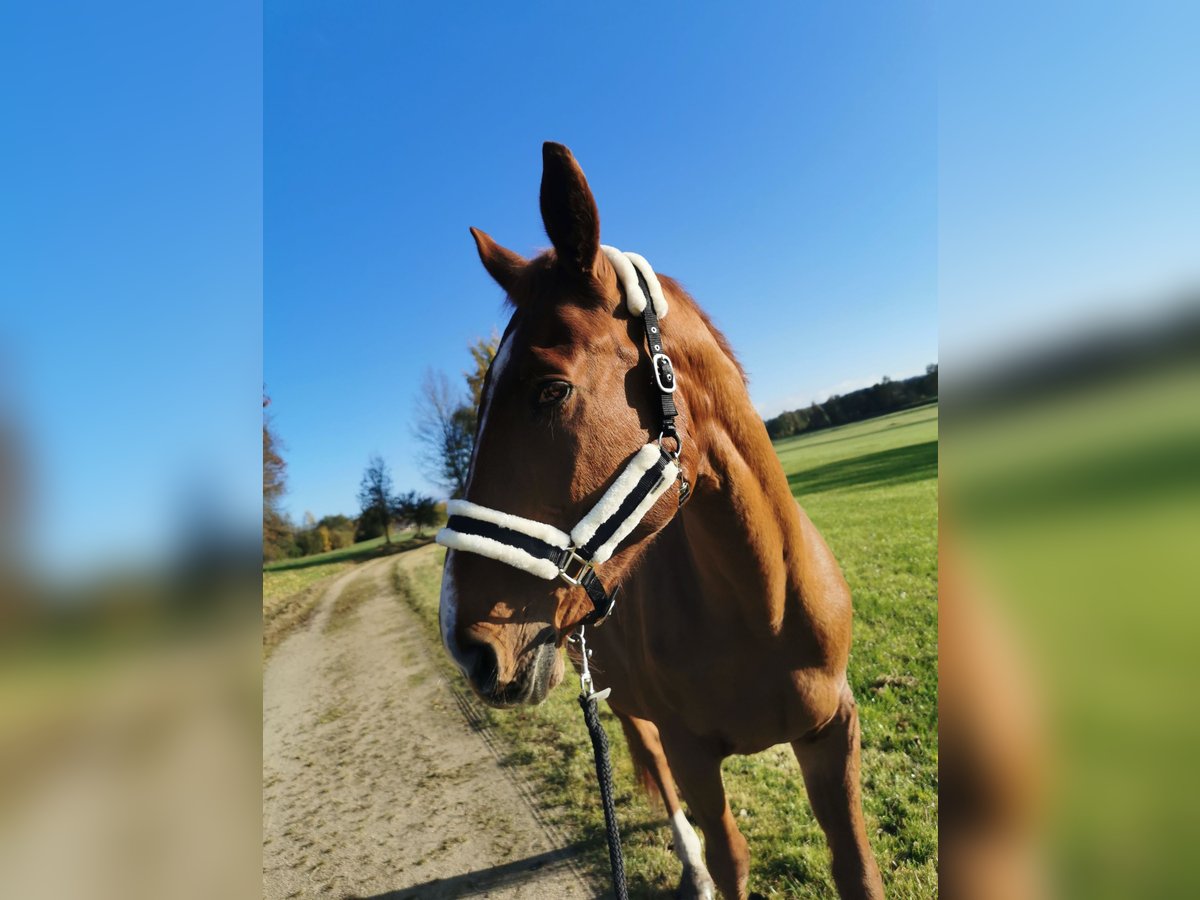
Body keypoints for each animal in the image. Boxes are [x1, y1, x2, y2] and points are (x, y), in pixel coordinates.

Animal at [436, 144, 888, 897]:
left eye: (550, 390)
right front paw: (707, 869)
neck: (764, 605)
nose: (464, 645)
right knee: (657, 775)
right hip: (624, 706)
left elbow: (856, 868)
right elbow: (729, 854)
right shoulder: (692, 752)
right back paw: (691, 868)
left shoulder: (833, 734)